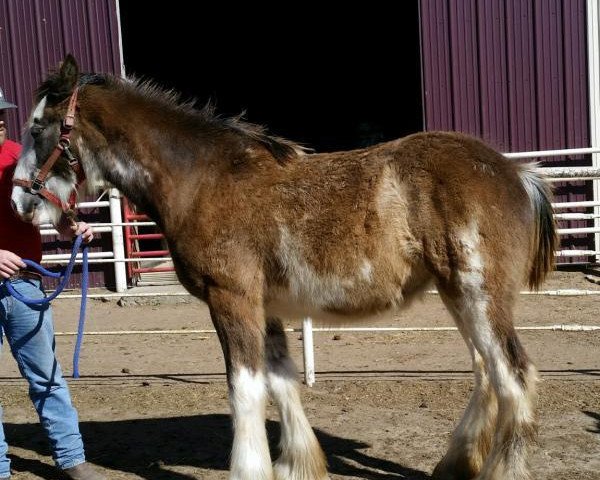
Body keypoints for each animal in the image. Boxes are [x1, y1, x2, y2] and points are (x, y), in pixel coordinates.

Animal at [11, 54, 556, 478]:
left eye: (37, 129)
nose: (20, 202)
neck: (203, 180)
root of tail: (516, 173)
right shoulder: (266, 307)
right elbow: (280, 381)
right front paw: (297, 465)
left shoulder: (231, 300)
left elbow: (245, 390)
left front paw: (249, 469)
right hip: (459, 296)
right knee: (487, 372)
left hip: (477, 295)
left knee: (513, 376)